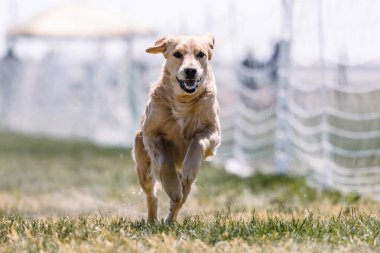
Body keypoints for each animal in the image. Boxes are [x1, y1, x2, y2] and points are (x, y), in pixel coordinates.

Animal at [133, 34, 221, 223]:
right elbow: (165, 161)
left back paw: (169, 221)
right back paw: (153, 220)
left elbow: (197, 141)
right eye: (177, 54)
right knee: (152, 196)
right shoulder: (151, 134)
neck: (183, 100)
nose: (190, 71)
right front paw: (172, 187)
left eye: (201, 54)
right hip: (143, 169)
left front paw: (189, 169)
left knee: (181, 199)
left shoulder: (214, 132)